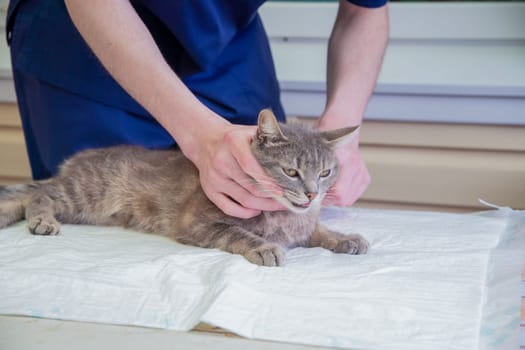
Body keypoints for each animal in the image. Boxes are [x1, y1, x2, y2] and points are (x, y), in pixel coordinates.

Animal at [0, 108, 366, 266]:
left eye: (325, 172)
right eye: (291, 171)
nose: (312, 193)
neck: (284, 217)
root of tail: (76, 161)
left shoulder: (305, 226)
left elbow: (318, 231)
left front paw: (345, 238)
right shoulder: (196, 221)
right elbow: (239, 234)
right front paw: (264, 247)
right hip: (84, 194)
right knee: (39, 195)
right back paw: (42, 220)